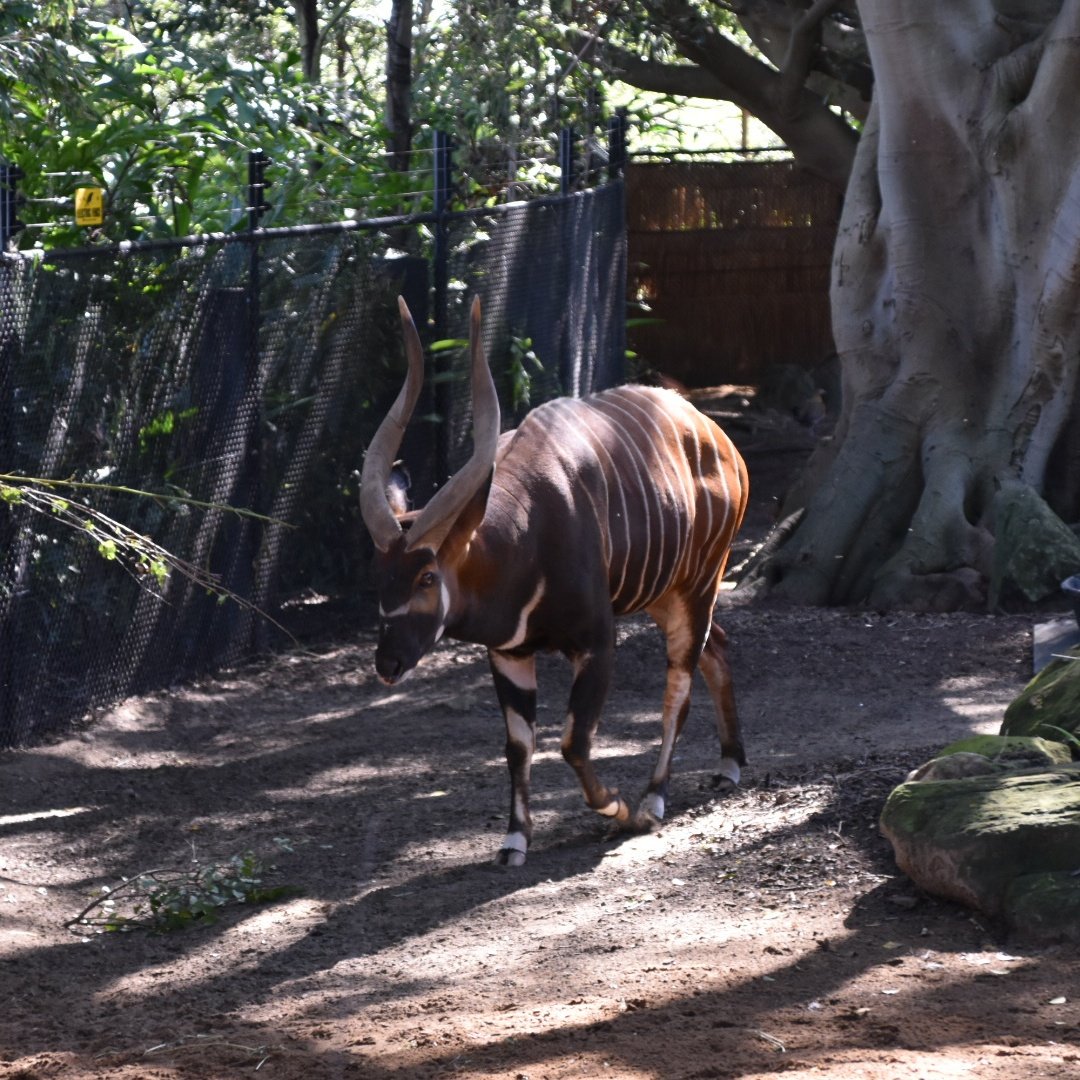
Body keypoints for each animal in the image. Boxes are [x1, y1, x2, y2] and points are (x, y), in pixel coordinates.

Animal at [358, 298, 747, 868]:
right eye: (378, 576)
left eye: (427, 575)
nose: (388, 664)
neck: (524, 532)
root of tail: (717, 436)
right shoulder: (510, 655)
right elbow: (518, 744)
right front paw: (514, 841)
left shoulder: (597, 644)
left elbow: (572, 741)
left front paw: (620, 809)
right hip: (666, 594)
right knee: (717, 645)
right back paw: (729, 764)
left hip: (698, 585)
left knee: (680, 683)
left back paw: (654, 799)